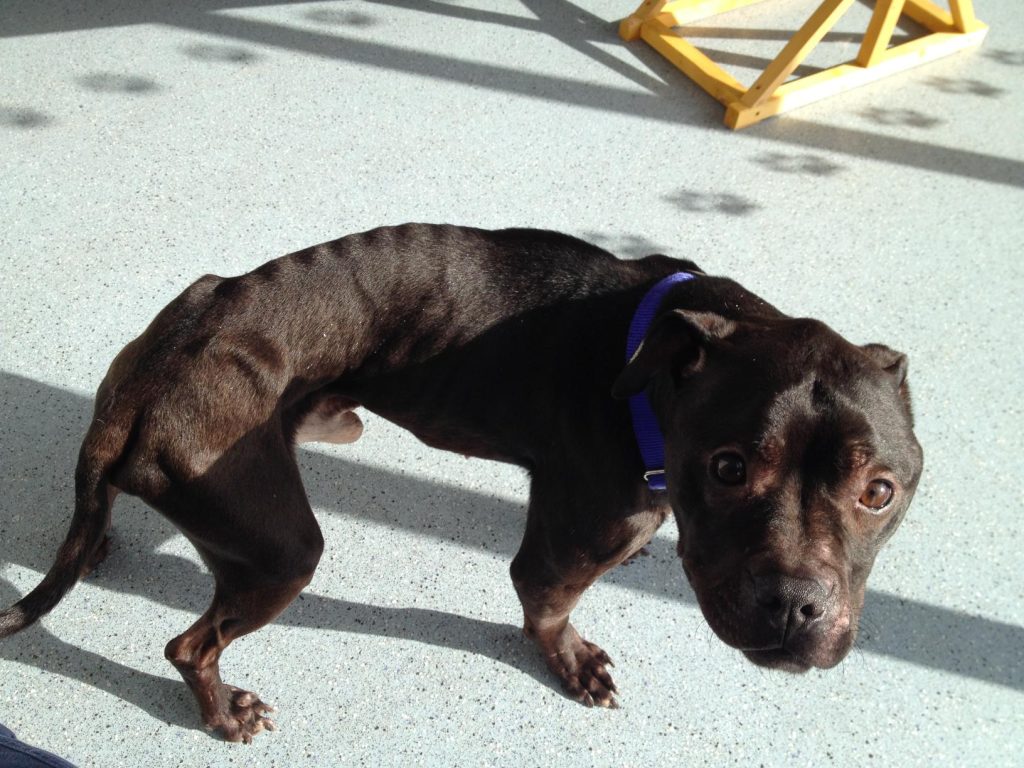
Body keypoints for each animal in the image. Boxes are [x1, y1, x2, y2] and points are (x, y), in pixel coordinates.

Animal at [0, 225, 929, 741]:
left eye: (880, 491)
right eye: (730, 466)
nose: (795, 610)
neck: (648, 366)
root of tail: (157, 367)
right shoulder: (564, 547)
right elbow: (547, 608)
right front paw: (571, 662)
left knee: (96, 515)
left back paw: (100, 538)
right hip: (283, 551)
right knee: (190, 646)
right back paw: (224, 712)